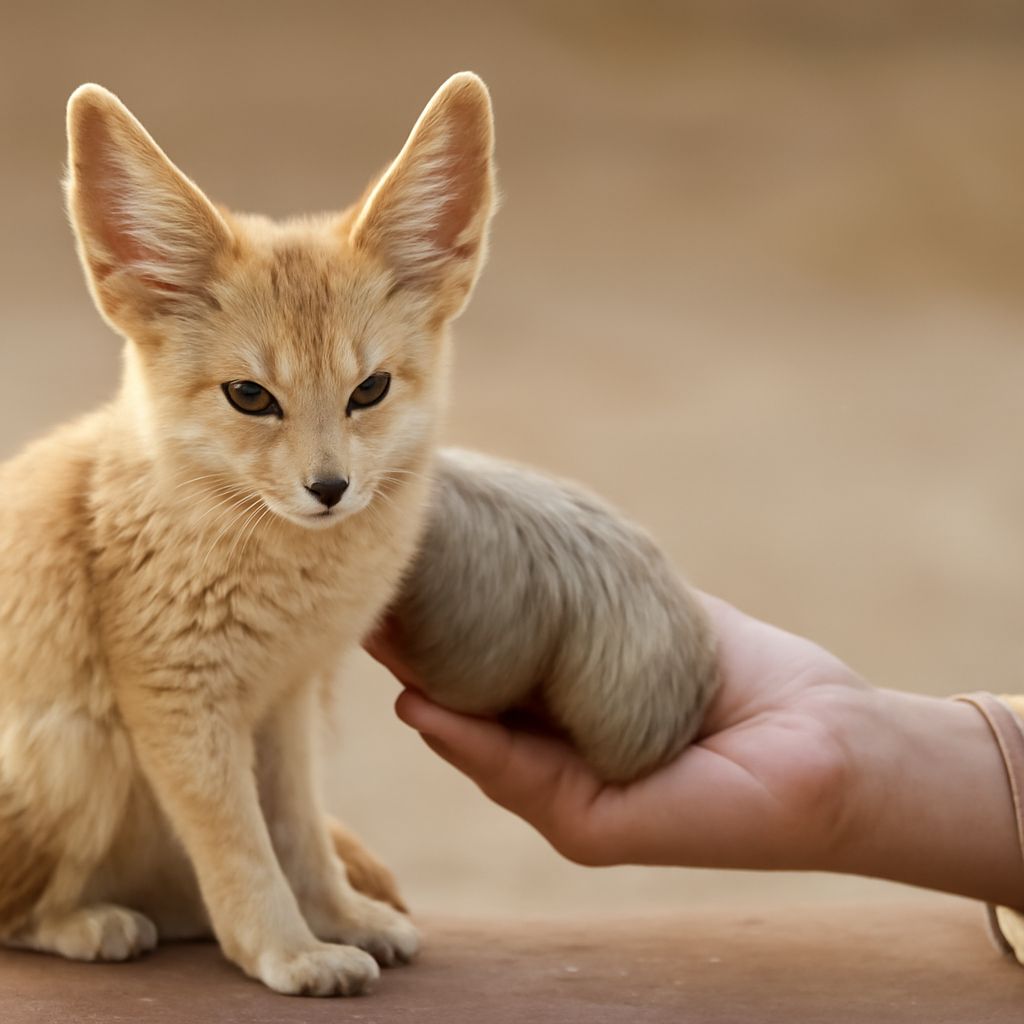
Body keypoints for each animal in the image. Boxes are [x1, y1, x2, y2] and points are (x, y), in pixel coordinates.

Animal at [0, 73, 495, 996]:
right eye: (250, 397)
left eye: (369, 390)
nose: (329, 489)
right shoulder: (177, 703)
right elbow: (241, 847)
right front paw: (287, 950)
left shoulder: (285, 701)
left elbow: (298, 832)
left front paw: (335, 918)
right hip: (81, 749)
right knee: (20, 909)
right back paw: (91, 923)